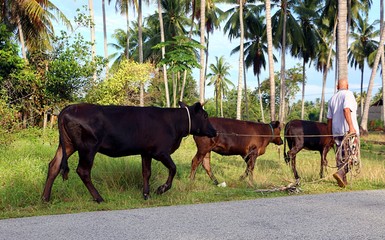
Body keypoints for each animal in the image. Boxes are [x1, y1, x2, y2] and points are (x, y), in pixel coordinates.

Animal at [42, 101, 216, 202]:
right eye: (205, 115)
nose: (214, 131)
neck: (174, 123)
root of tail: (68, 108)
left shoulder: (146, 152)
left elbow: (146, 172)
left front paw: (146, 194)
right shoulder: (160, 152)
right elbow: (173, 168)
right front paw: (161, 189)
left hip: (68, 145)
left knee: (54, 165)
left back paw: (45, 198)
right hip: (88, 148)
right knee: (82, 171)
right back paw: (99, 198)